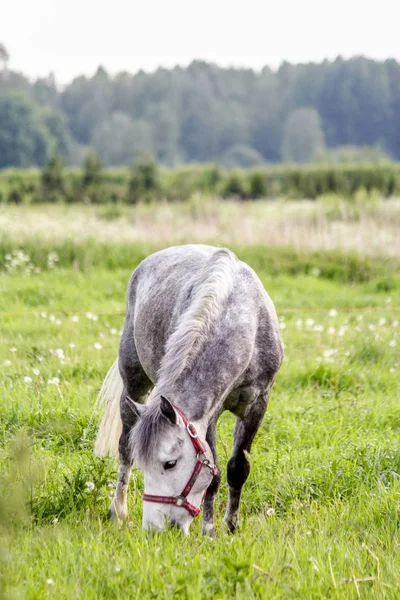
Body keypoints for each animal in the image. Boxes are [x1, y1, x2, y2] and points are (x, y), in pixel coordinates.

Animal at [95, 244, 282, 536]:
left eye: (169, 463)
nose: (154, 528)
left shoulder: (257, 405)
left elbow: (238, 468)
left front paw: (231, 526)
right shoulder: (210, 415)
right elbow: (214, 474)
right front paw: (209, 532)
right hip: (133, 386)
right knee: (124, 447)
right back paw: (118, 512)